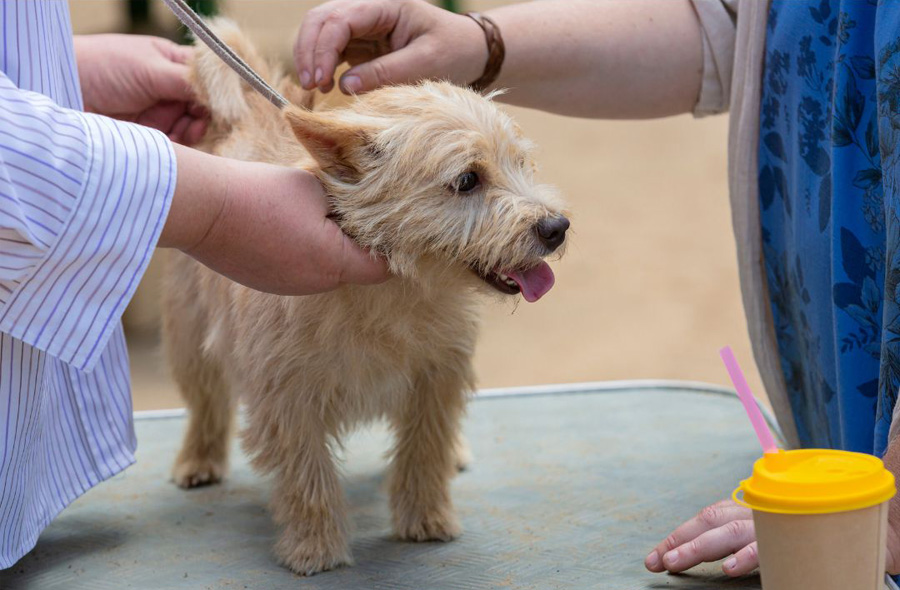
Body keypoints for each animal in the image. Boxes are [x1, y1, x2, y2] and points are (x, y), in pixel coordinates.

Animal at [160, 20, 568, 576]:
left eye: (521, 163)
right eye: (467, 180)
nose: (557, 227)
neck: (395, 291)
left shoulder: (437, 377)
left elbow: (425, 448)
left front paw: (427, 517)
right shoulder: (286, 399)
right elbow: (307, 475)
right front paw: (315, 548)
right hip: (188, 335)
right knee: (204, 401)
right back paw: (198, 458)